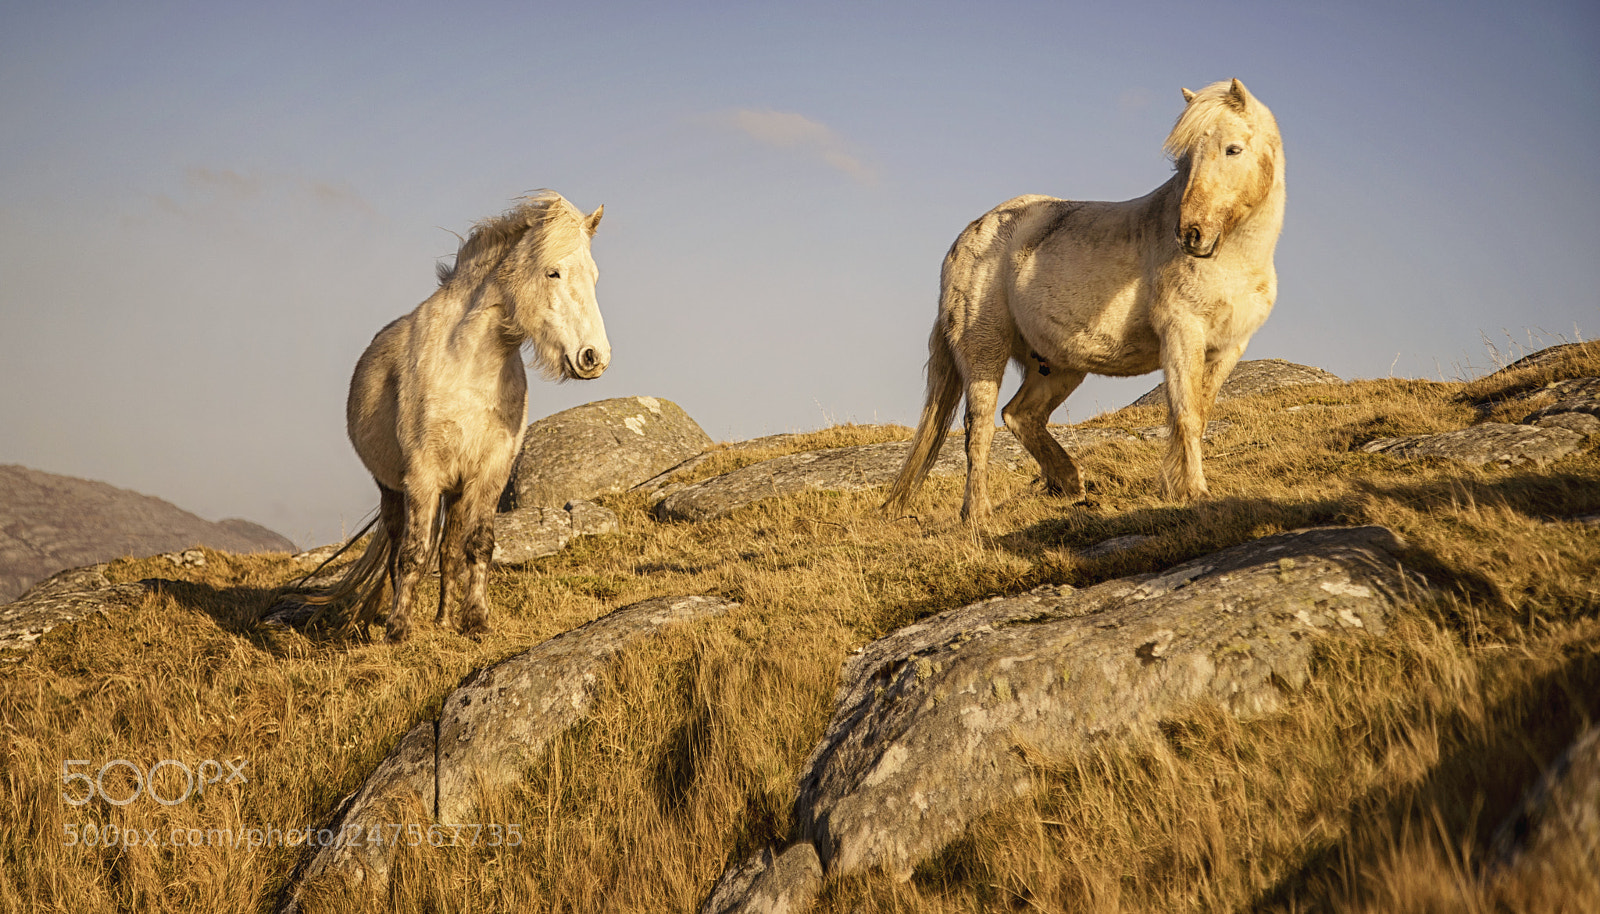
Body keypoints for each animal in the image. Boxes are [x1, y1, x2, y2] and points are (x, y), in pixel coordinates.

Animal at [318, 190, 609, 642]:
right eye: (554, 272)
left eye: (593, 277)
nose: (594, 357)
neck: (468, 365)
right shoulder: (422, 475)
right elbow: (413, 554)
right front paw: (398, 629)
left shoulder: (490, 471)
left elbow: (477, 546)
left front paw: (476, 620)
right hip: (394, 490)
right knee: (400, 548)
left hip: (455, 491)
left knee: (449, 550)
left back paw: (442, 619)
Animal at [883, 79, 1285, 522]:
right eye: (1183, 161)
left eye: (1233, 149)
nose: (1191, 234)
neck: (1234, 259)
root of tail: (968, 236)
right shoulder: (1182, 335)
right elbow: (1187, 415)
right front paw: (1194, 491)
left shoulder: (1229, 347)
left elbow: (1202, 411)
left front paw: (1179, 486)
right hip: (985, 349)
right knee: (981, 423)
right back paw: (978, 513)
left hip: (1058, 365)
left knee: (1020, 415)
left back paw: (1070, 484)